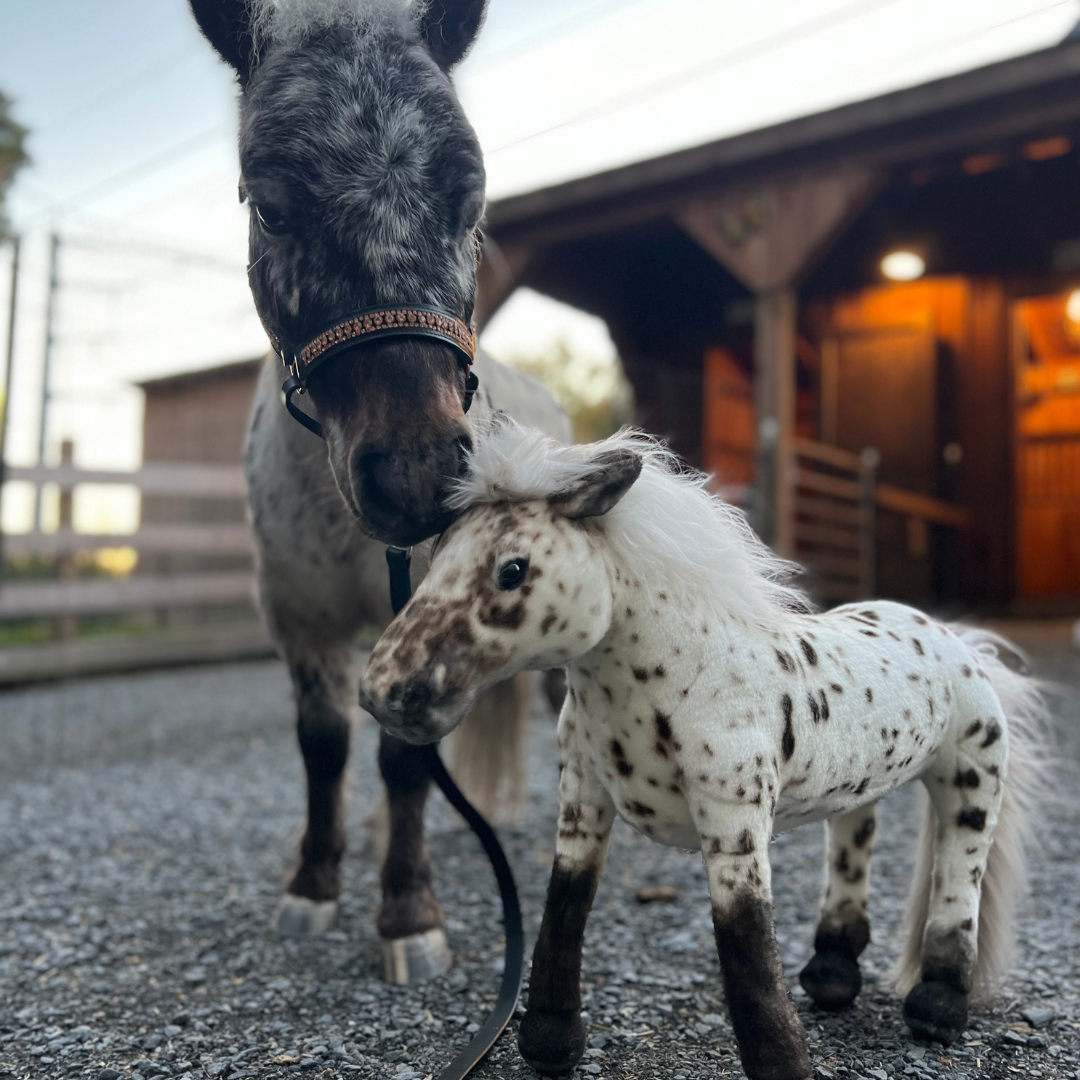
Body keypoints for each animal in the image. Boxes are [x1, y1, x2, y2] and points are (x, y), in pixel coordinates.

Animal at [358, 421, 1049, 1080]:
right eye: (437, 554)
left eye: (513, 570)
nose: (384, 692)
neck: (687, 672)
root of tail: (959, 641)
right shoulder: (582, 797)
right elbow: (564, 906)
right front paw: (551, 1045)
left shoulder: (734, 823)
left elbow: (746, 945)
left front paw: (783, 1065)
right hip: (860, 787)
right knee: (853, 846)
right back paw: (832, 973)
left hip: (971, 781)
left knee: (959, 881)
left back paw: (938, 1008)